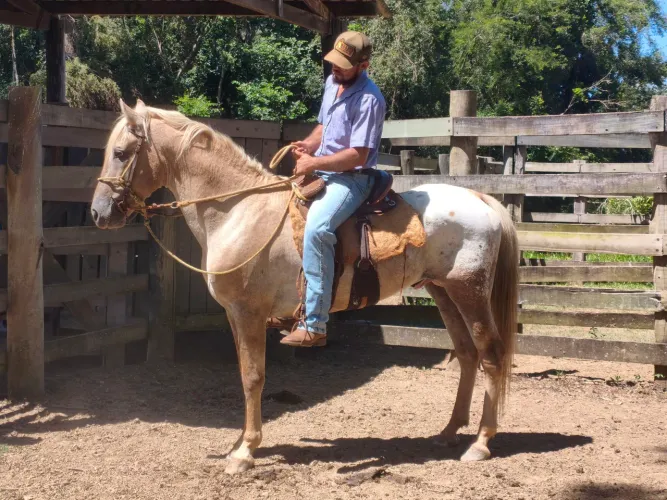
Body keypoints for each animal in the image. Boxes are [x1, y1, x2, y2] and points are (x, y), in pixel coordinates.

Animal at [91, 99, 519, 475]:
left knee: (491, 355)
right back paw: (449, 432)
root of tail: (482, 199)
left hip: (469, 292)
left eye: (122, 152)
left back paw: (481, 443)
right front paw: (239, 443)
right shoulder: (234, 315)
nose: (98, 213)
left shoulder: (249, 313)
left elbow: (253, 377)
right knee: (466, 354)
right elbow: (244, 374)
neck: (238, 212)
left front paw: (245, 452)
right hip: (442, 292)